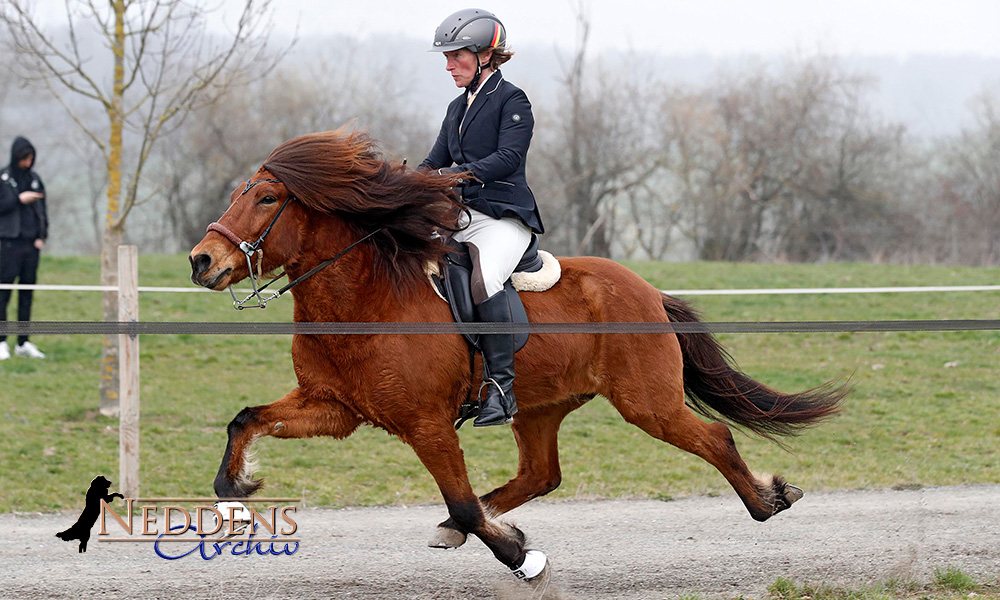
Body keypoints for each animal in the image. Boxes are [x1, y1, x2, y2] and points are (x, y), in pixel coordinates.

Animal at [188, 127, 844, 580]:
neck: (364, 298)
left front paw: (521, 557)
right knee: (541, 473)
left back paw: (768, 500)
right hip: (540, 406)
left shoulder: (426, 424)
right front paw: (236, 494)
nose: (201, 261)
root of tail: (647, 291)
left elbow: (462, 500)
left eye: (266, 199)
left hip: (646, 402)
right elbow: (245, 420)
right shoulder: (334, 407)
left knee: (715, 438)